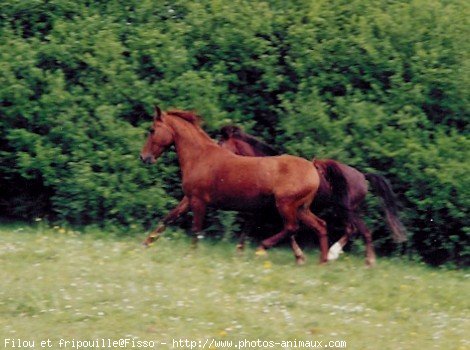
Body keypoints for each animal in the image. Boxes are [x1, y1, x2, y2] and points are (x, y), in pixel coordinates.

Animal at [140, 108, 338, 264]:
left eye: (152, 130)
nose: (144, 157)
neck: (199, 157)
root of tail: (312, 167)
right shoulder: (189, 199)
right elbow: (167, 219)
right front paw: (145, 244)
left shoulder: (198, 201)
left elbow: (196, 230)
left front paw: (191, 255)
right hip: (301, 208)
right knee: (320, 225)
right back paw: (322, 262)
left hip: (286, 205)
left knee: (292, 228)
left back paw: (263, 248)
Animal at [218, 126, 406, 266]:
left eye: (221, 143)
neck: (270, 169)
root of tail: (362, 176)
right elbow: (289, 232)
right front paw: (299, 257)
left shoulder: (272, 208)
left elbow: (265, 226)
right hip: (343, 210)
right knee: (354, 230)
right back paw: (337, 255)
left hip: (346, 210)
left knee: (360, 231)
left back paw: (351, 257)